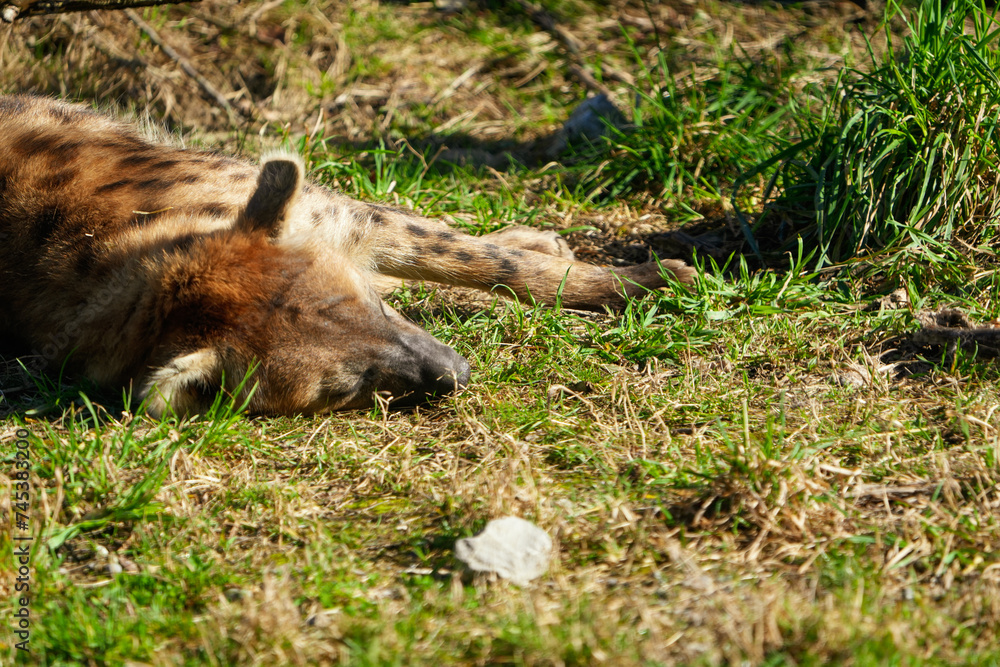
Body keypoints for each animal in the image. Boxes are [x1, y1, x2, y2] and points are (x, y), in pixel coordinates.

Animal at [0, 94, 694, 417]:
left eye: (370, 312)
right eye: (350, 385)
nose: (455, 374)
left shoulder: (327, 213)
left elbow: (474, 257)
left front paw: (654, 278)